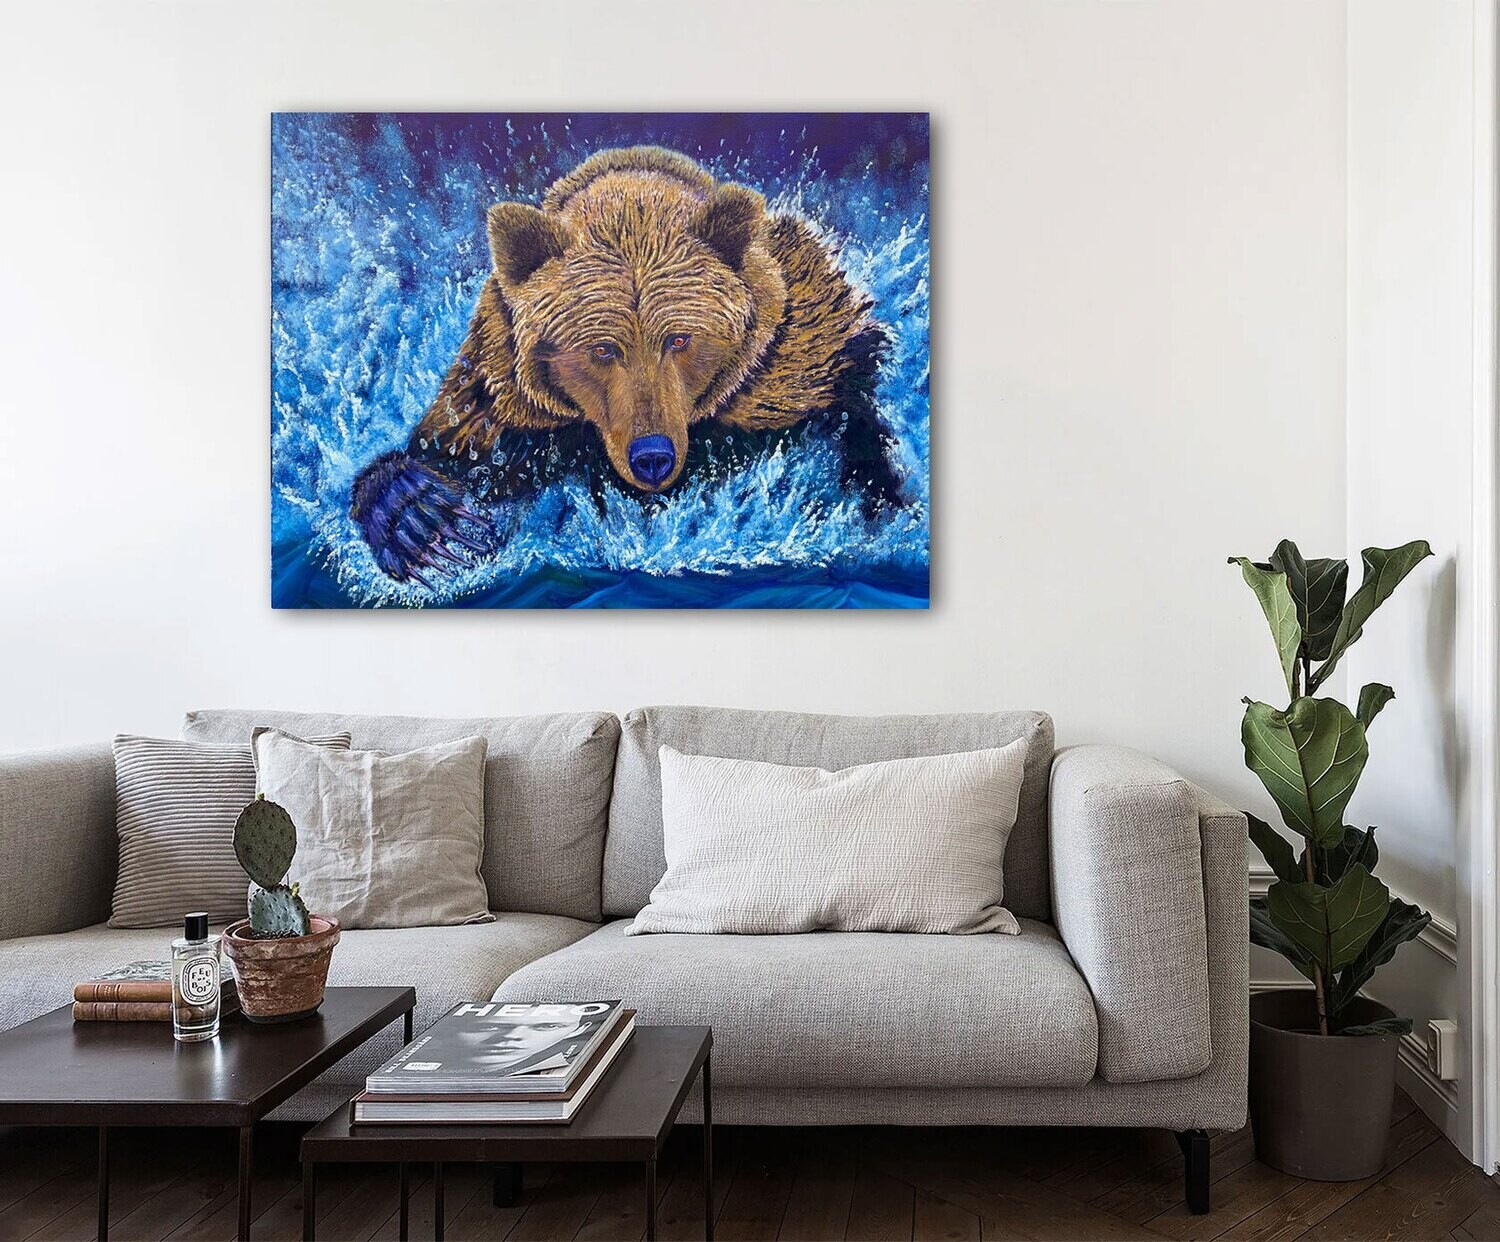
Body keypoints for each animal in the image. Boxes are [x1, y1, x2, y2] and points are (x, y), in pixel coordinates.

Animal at [350, 145, 906, 585]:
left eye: (679, 339)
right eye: (602, 349)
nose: (652, 456)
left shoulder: (795, 354)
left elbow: (850, 411)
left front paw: (876, 499)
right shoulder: (502, 402)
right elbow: (448, 450)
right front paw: (418, 515)